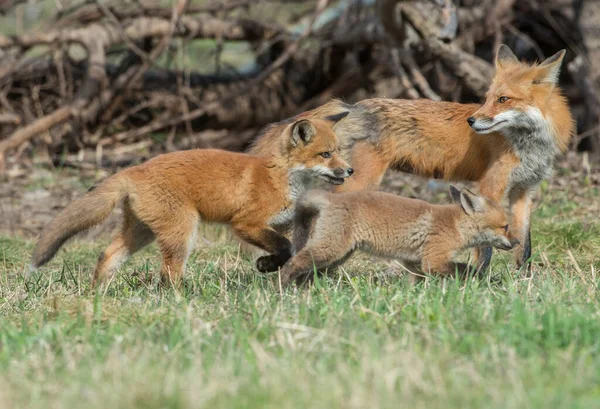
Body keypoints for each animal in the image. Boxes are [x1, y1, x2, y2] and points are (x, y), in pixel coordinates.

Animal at [30, 113, 354, 286]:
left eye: (339, 151)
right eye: (325, 155)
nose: (350, 170)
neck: (282, 179)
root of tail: (134, 169)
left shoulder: (281, 224)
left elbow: (292, 250)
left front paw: (274, 267)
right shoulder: (245, 223)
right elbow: (284, 247)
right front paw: (267, 265)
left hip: (142, 233)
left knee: (107, 256)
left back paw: (97, 293)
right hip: (182, 231)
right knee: (167, 274)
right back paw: (181, 297)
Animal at [247, 44, 572, 272]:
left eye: (503, 100)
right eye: (487, 98)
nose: (472, 121)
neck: (529, 145)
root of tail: (355, 105)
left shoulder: (524, 192)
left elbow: (524, 246)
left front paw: (523, 282)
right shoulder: (490, 187)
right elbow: (485, 245)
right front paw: (480, 279)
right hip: (358, 182)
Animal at [278, 186, 516, 286]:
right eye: (505, 226)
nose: (516, 242)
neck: (455, 225)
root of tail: (331, 197)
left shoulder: (413, 262)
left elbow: (415, 283)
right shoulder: (433, 260)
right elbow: (464, 268)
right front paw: (479, 277)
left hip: (336, 257)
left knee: (308, 271)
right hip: (329, 250)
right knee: (292, 263)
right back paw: (283, 288)